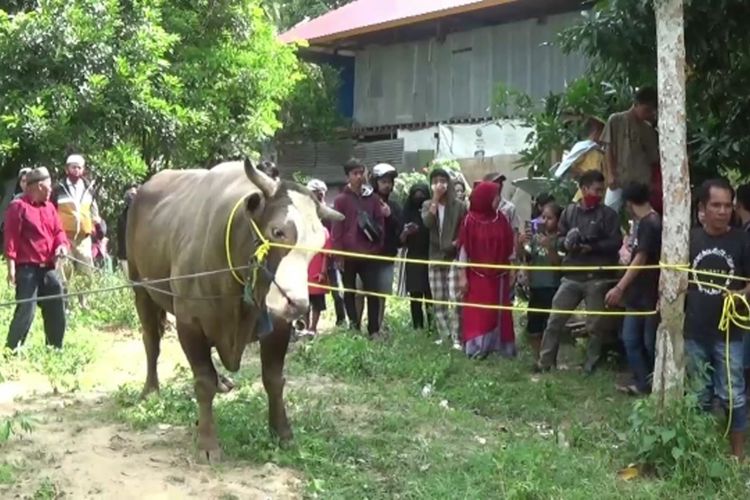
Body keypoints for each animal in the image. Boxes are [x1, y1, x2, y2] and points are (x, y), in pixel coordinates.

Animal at [127, 160, 344, 460]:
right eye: (278, 231)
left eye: (319, 244)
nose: (297, 304)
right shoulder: (190, 323)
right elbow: (203, 381)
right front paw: (208, 443)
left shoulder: (277, 326)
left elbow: (274, 380)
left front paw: (283, 433)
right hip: (141, 289)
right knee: (151, 340)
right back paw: (150, 390)